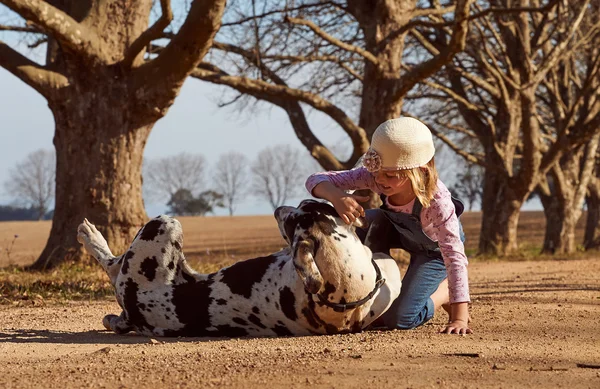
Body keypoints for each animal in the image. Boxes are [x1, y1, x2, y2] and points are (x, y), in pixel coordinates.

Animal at [77, 200, 400, 336]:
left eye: (291, 219)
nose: (278, 209)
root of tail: (134, 309)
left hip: (165, 223)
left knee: (112, 265)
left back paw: (90, 236)